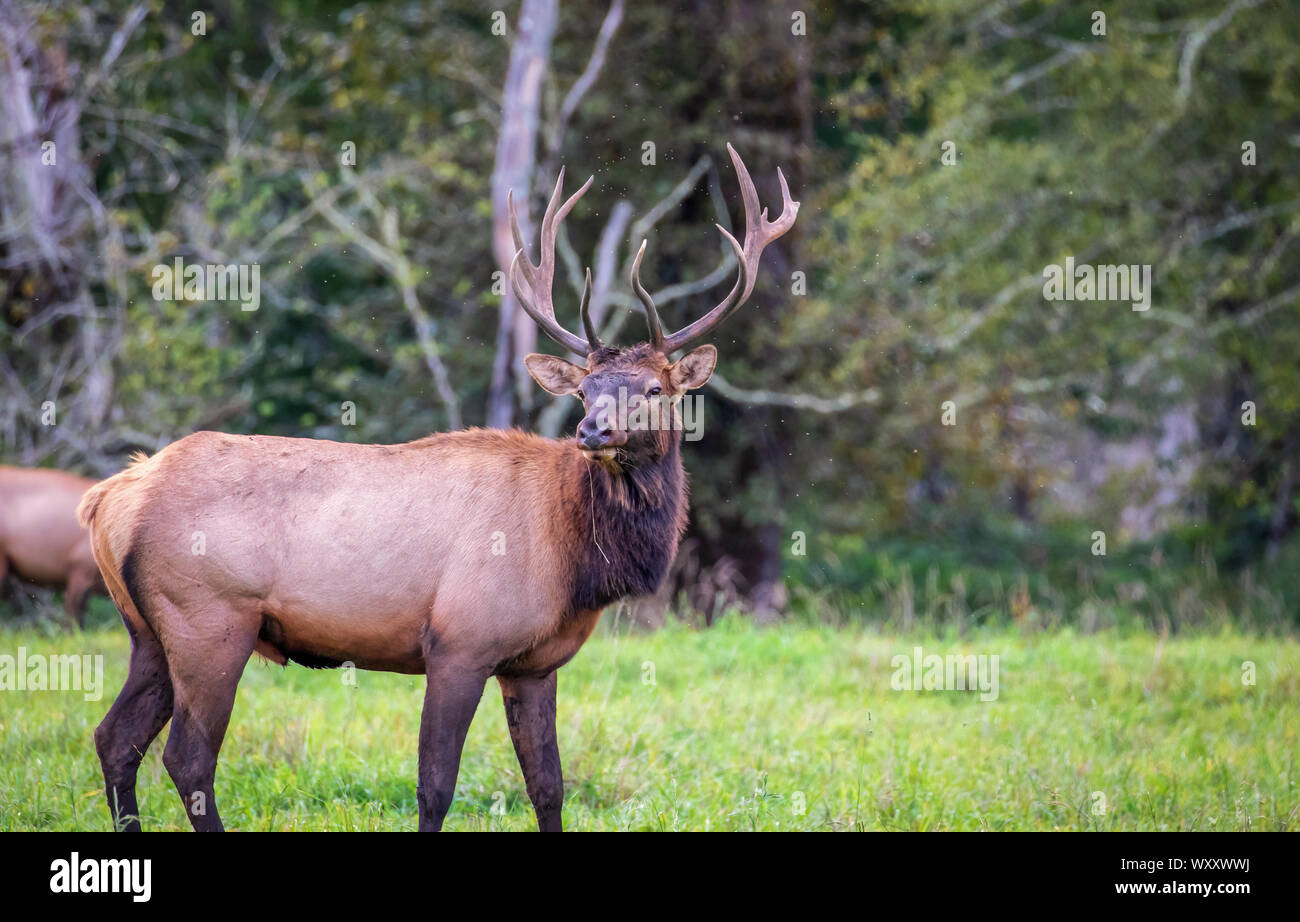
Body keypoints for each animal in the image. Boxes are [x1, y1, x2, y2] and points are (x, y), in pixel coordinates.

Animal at [81, 143, 795, 827]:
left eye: (653, 389)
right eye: (586, 389)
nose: (592, 430)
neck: (576, 561)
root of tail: (108, 498)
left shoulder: (533, 664)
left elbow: (549, 787)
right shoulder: (459, 642)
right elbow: (436, 786)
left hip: (148, 631)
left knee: (115, 739)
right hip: (210, 618)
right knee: (186, 757)